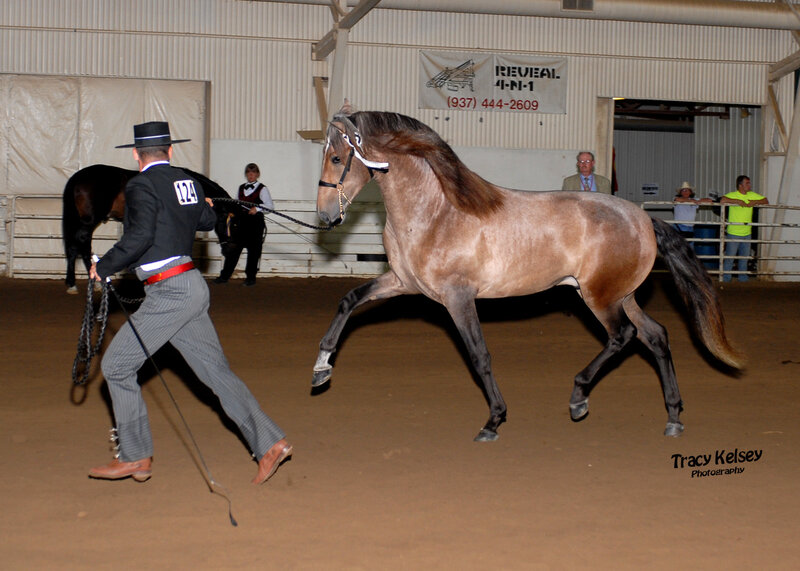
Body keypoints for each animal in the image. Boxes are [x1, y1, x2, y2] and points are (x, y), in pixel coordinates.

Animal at [62, 164, 233, 293]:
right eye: (227, 218)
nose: (228, 247)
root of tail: (77, 178)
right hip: (89, 221)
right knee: (82, 243)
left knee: (74, 247)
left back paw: (73, 283)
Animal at [312, 102, 744, 442]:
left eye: (336, 158)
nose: (325, 216)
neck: (435, 212)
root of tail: (643, 219)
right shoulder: (402, 283)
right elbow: (348, 300)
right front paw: (321, 369)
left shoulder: (458, 297)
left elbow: (479, 355)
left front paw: (493, 421)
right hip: (620, 294)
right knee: (655, 336)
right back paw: (673, 416)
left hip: (599, 297)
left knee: (623, 336)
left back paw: (579, 398)